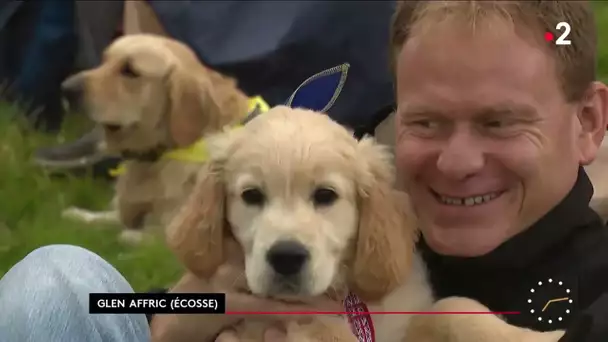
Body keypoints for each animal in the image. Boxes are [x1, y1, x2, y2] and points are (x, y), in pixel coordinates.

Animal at [61, 34, 266, 243]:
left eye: (129, 71)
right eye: (104, 61)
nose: (66, 88)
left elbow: (131, 234)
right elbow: (108, 218)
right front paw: (81, 215)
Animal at [152, 105, 564, 340]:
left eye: (325, 195)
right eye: (251, 196)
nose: (286, 257)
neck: (341, 296)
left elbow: (453, 308)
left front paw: (542, 337)